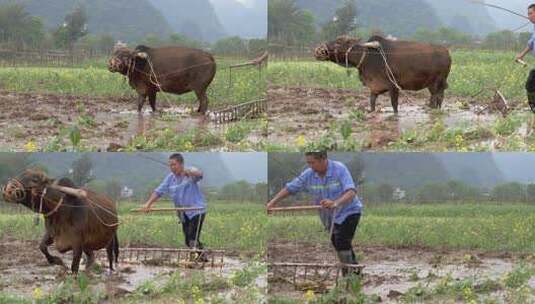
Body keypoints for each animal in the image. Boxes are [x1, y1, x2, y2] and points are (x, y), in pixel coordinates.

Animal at [314, 35, 452, 113]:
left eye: (338, 42)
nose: (318, 50)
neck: (367, 58)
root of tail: (446, 52)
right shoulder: (374, 88)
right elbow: (372, 104)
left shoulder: (393, 86)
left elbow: (395, 106)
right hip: (433, 85)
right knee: (436, 100)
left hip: (437, 83)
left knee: (437, 99)